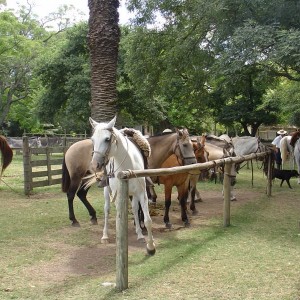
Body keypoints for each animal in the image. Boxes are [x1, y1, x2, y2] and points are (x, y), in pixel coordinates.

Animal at [89, 116, 156, 254]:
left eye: (107, 139)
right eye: (92, 139)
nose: (94, 165)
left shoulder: (141, 193)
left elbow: (147, 220)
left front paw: (150, 246)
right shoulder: (117, 194)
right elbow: (118, 217)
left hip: (133, 194)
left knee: (135, 209)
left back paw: (140, 234)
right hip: (107, 192)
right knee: (107, 210)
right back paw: (105, 236)